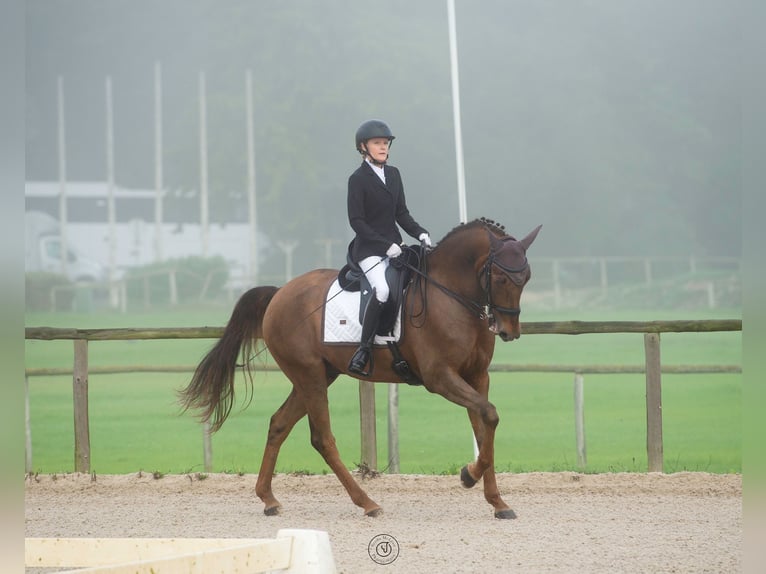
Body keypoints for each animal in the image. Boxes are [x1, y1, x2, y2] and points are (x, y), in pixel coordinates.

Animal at [178, 217, 544, 520]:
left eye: (526, 277)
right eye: (500, 276)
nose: (509, 330)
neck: (451, 295)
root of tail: (280, 293)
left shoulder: (476, 377)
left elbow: (485, 426)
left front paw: (497, 501)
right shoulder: (440, 377)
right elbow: (489, 416)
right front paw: (468, 475)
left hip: (317, 376)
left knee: (279, 424)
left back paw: (268, 499)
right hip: (310, 376)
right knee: (322, 438)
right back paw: (367, 503)